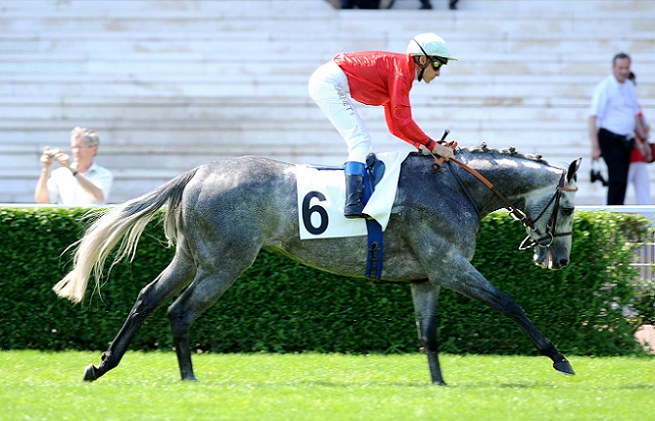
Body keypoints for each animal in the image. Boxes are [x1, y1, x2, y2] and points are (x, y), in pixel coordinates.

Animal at [53, 144, 580, 384]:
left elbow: (427, 333)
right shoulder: (449, 266)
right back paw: (188, 379)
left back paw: (102, 364)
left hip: (191, 257)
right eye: (571, 208)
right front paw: (558, 357)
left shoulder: (426, 277)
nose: (558, 259)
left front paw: (438, 383)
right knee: (180, 311)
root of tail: (198, 172)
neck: (457, 187)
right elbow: (510, 304)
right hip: (225, 263)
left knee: (146, 299)